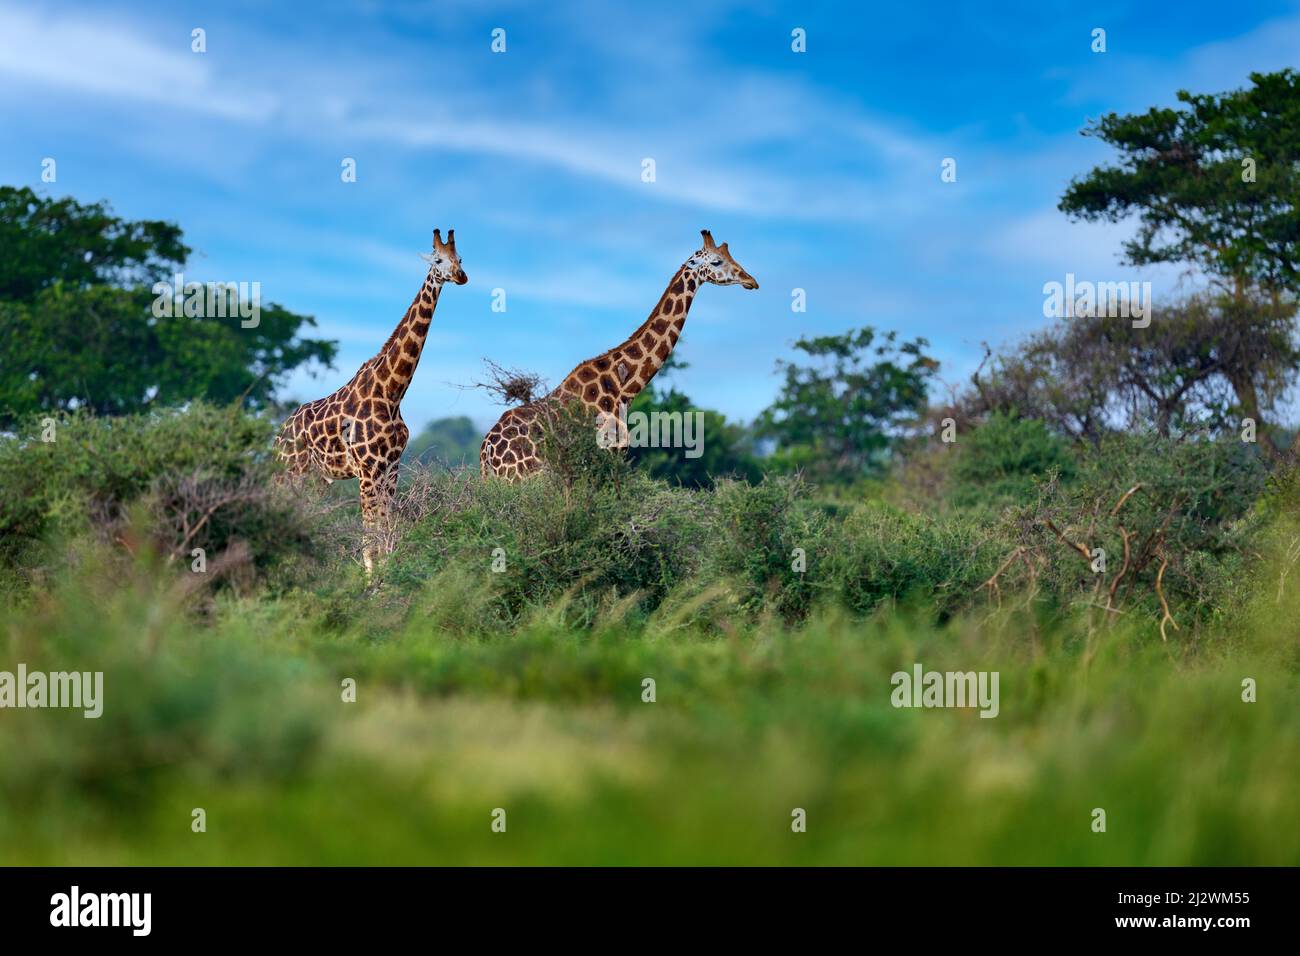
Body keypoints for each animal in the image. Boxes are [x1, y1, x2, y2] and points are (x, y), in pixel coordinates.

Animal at [276, 227, 470, 572]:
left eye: (460, 258)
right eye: (437, 260)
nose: (461, 277)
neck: (392, 392)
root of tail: (279, 432)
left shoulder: (391, 468)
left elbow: (387, 530)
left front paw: (389, 577)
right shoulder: (367, 470)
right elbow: (369, 538)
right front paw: (373, 583)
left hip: (317, 478)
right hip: (291, 471)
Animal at [483, 231, 759, 481]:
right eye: (717, 261)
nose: (751, 280)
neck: (622, 387)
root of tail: (486, 453)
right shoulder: (609, 452)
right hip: (524, 477)